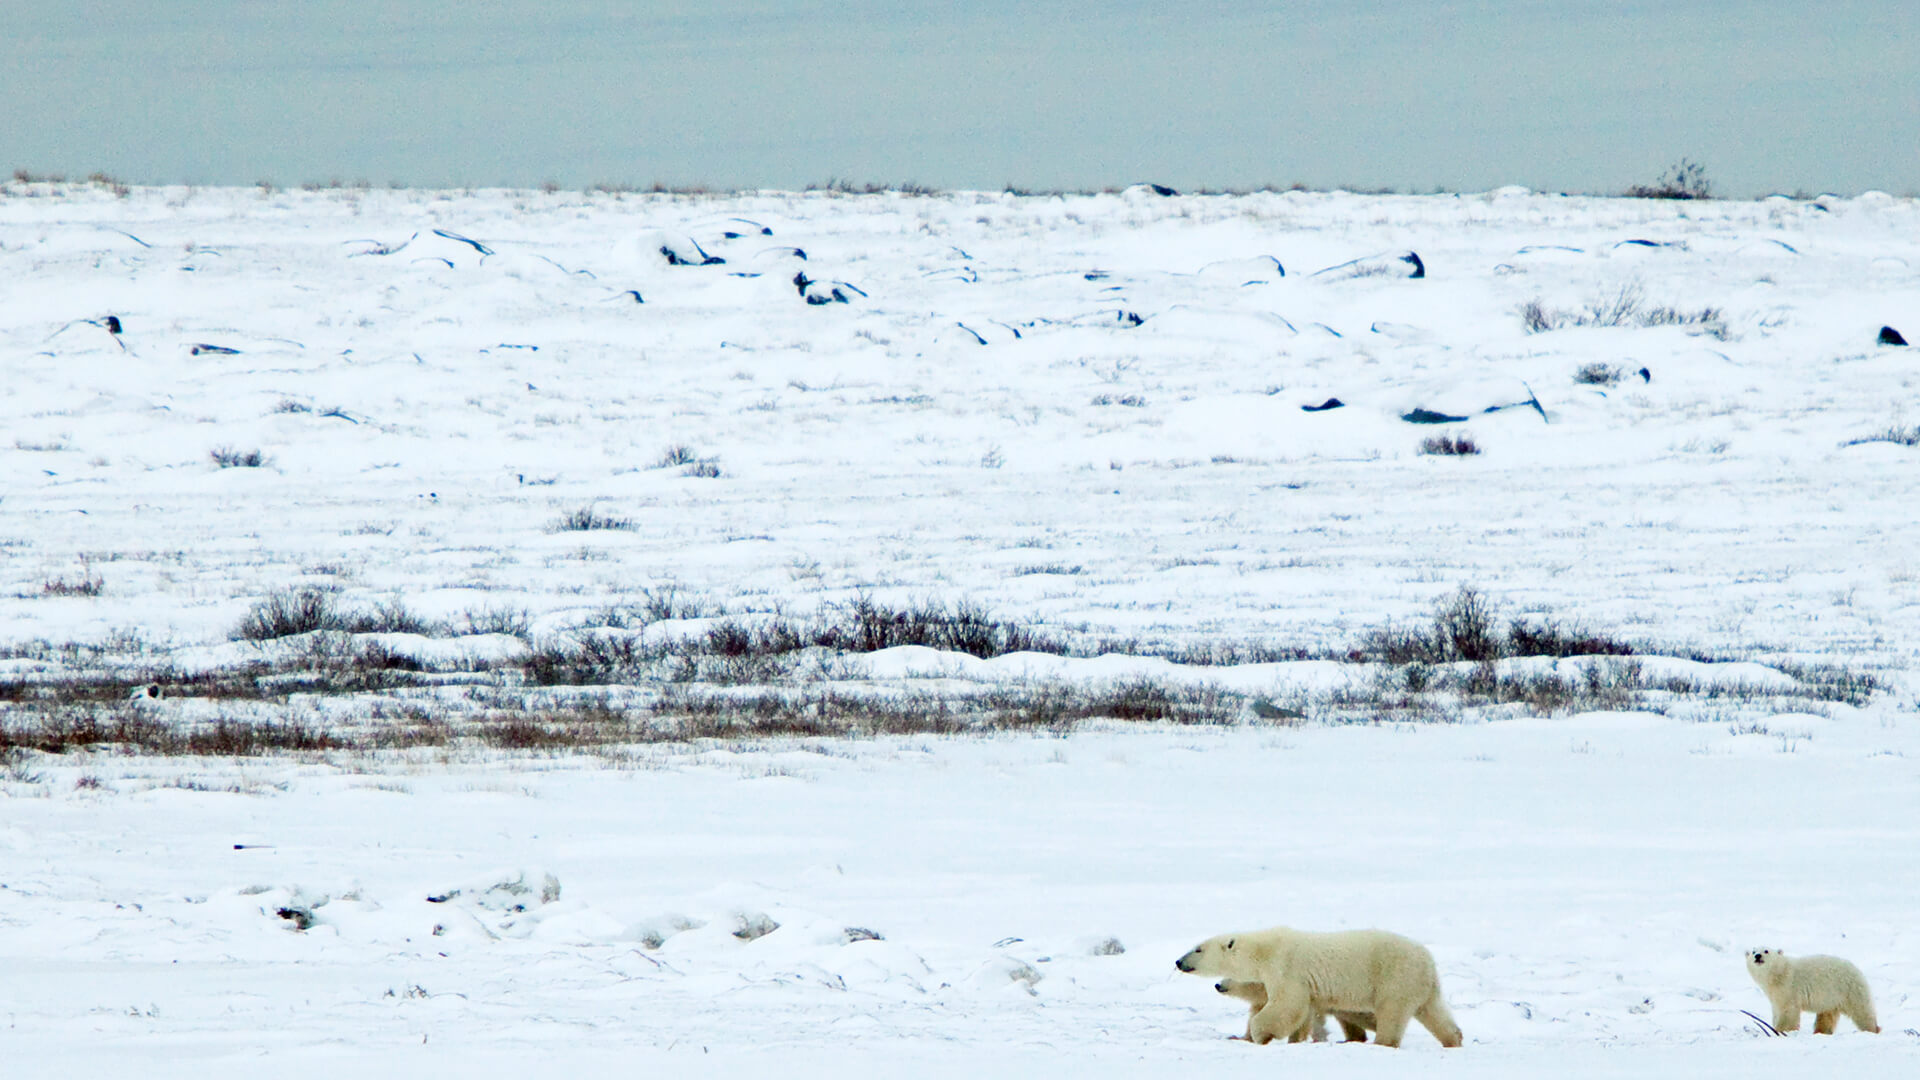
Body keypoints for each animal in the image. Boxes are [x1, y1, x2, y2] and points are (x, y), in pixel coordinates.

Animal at [1745, 948, 1879, 1034]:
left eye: (1766, 950)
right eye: (1753, 951)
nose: (1757, 956)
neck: (1779, 973)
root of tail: (1857, 970)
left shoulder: (1789, 986)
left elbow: (1788, 1010)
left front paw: (1780, 1030)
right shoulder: (1774, 993)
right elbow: (1777, 1009)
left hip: (1848, 990)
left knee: (1861, 1011)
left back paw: (1872, 1029)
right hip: (1831, 998)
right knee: (1826, 1016)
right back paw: (1820, 1031)